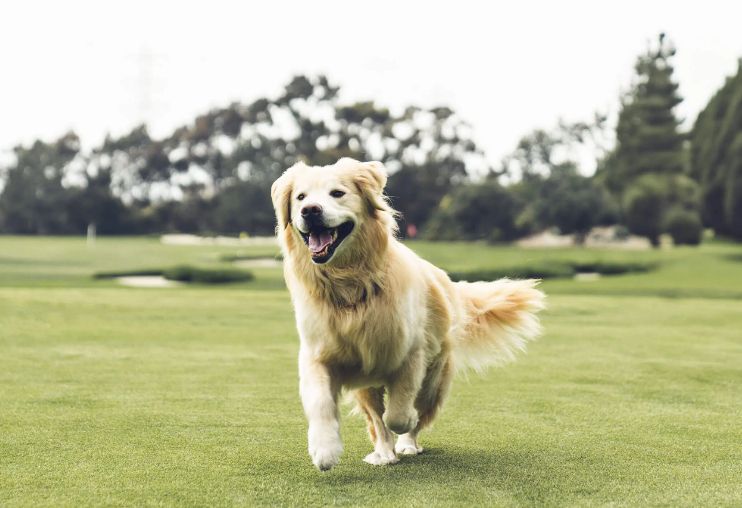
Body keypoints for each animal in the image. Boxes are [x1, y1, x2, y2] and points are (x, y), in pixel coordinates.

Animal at [274, 159, 548, 472]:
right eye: (301, 198)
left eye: (337, 193)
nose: (310, 211)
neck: (351, 288)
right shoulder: (319, 354)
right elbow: (322, 403)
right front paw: (324, 449)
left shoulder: (410, 355)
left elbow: (400, 412)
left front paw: (406, 427)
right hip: (367, 387)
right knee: (377, 420)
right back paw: (383, 453)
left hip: (434, 376)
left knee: (410, 410)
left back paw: (406, 444)